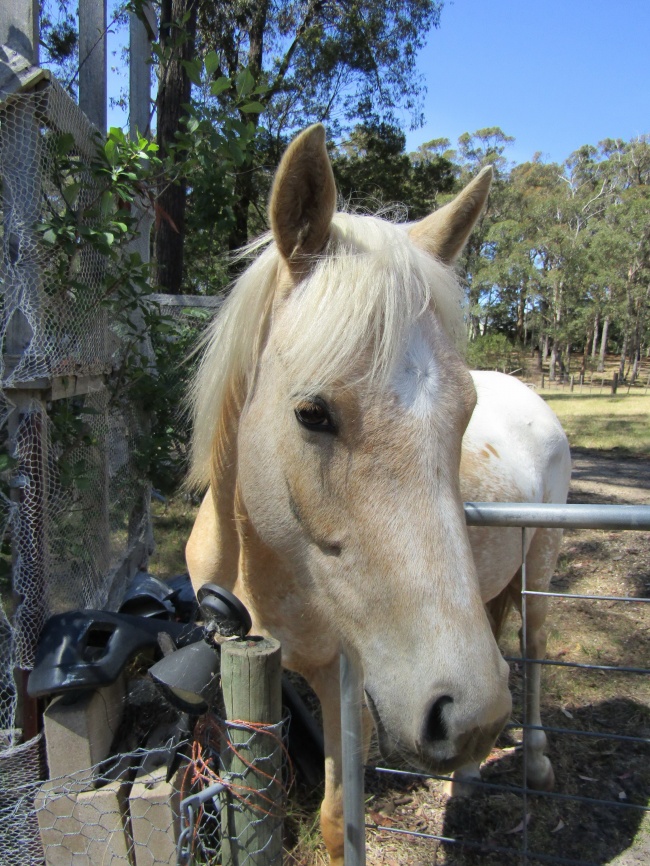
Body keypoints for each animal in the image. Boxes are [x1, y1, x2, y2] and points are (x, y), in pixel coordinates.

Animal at [182, 123, 568, 864]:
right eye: (312, 413)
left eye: (464, 411)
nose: (467, 717)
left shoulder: (346, 684)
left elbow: (338, 821)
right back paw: (472, 774)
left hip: (541, 562)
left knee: (532, 650)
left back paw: (535, 759)